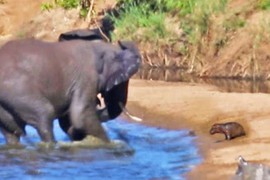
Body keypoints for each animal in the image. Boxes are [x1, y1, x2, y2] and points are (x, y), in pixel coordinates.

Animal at [0, 38, 141, 145]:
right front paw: (110, 145)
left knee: (11, 132)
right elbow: (80, 116)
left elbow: (68, 120)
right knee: (44, 115)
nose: (98, 102)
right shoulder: (86, 77)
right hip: (17, 90)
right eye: (120, 81)